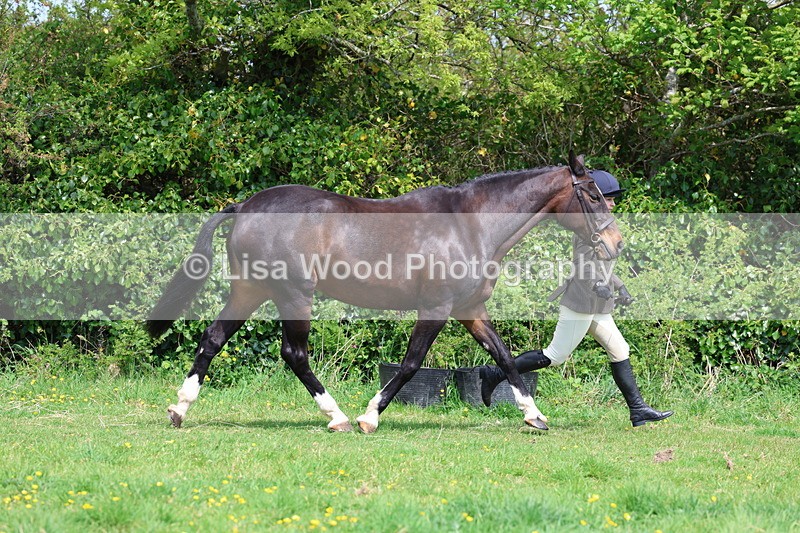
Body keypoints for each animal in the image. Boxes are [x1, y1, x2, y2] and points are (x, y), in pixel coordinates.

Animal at [147, 152, 623, 433]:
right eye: (593, 196)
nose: (615, 243)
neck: (470, 225)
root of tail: (245, 206)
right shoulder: (436, 307)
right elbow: (412, 363)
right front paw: (370, 416)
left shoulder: (470, 308)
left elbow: (504, 356)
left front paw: (534, 416)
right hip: (293, 295)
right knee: (294, 354)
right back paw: (337, 417)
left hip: (251, 291)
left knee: (212, 339)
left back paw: (180, 409)